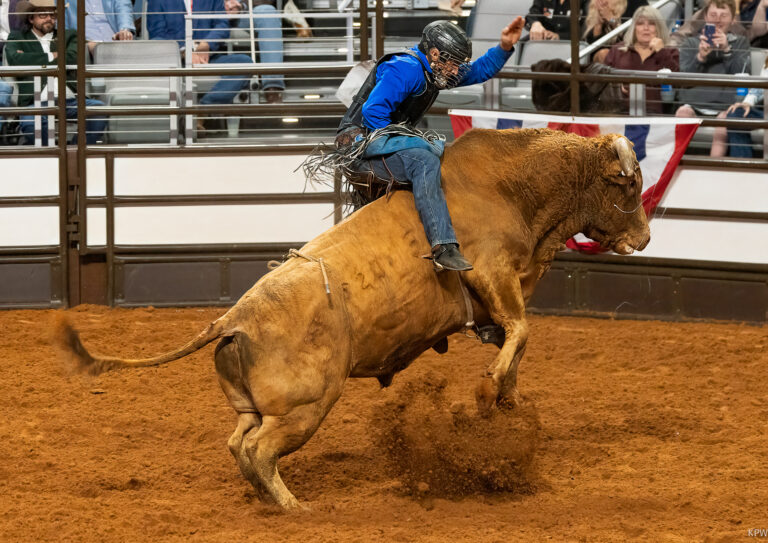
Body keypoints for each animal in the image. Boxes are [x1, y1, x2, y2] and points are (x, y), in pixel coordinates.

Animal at [57, 127, 652, 510]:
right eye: (626, 183)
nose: (645, 237)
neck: (511, 186)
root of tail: (233, 319)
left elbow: (516, 339)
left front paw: (507, 399)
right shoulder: (492, 273)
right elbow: (521, 331)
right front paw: (489, 393)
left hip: (256, 405)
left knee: (239, 443)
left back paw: (266, 498)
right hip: (308, 404)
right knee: (259, 449)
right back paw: (295, 508)